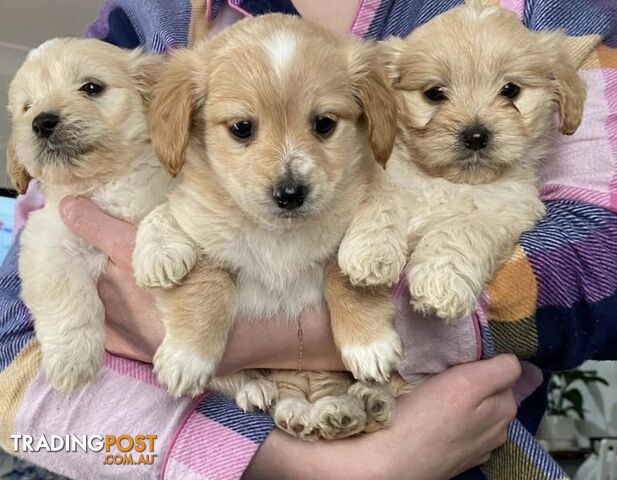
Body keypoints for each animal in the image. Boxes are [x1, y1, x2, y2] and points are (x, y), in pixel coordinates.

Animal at [7, 36, 171, 390]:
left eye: (91, 87)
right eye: (28, 107)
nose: (41, 122)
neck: (107, 181)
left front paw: (160, 255)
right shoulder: (48, 242)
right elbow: (66, 297)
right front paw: (73, 360)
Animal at [134, 13, 404, 440]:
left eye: (324, 124)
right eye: (242, 128)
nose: (290, 193)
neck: (279, 236)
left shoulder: (341, 238)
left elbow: (343, 277)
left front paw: (369, 344)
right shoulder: (205, 240)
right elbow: (204, 287)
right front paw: (187, 357)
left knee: (323, 384)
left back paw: (355, 404)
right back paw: (263, 391)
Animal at [358, 1, 580, 320]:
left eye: (510, 90)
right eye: (434, 93)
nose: (475, 135)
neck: (448, 182)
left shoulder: (505, 212)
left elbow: (461, 229)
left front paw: (440, 279)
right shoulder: (381, 173)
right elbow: (382, 199)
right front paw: (370, 251)